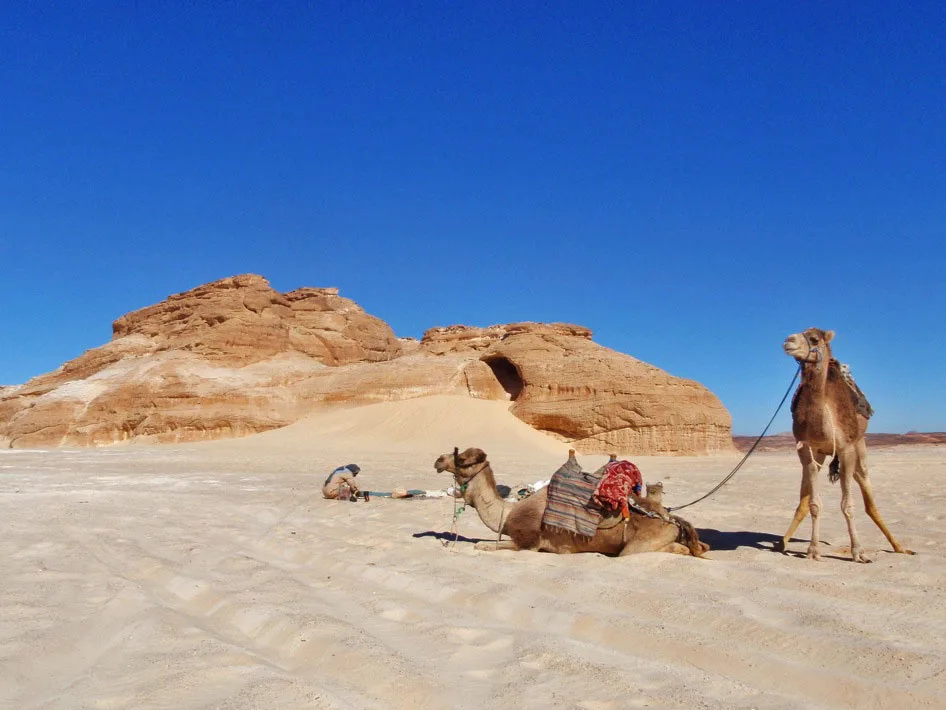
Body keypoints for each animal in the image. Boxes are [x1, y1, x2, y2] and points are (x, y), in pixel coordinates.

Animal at [433, 447, 708, 557]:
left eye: (462, 460)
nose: (438, 460)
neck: (506, 514)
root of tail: (671, 518)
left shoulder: (530, 543)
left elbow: (484, 545)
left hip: (639, 545)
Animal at [776, 328, 914, 562]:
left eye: (814, 339)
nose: (788, 341)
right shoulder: (808, 450)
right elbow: (813, 504)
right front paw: (813, 550)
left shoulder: (846, 449)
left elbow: (848, 505)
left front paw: (858, 552)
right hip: (820, 456)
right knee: (804, 501)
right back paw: (781, 543)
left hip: (860, 447)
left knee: (869, 499)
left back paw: (899, 547)